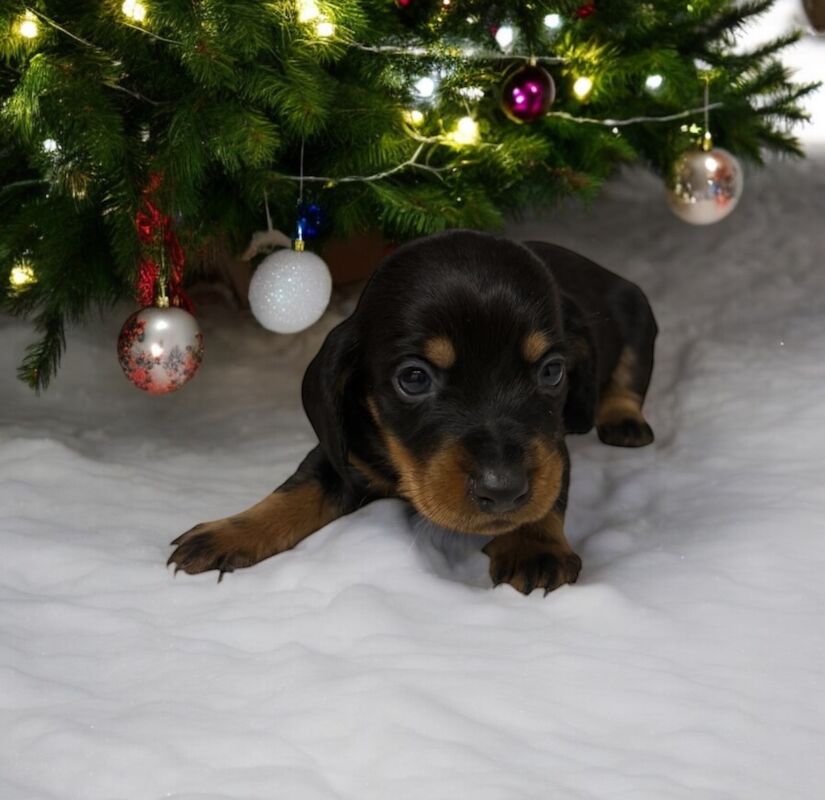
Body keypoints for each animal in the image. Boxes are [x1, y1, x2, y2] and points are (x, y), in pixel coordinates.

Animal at [169, 231, 656, 592]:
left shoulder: (551, 446)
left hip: (637, 316)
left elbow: (549, 491)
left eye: (553, 371)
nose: (502, 490)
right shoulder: (345, 453)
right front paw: (230, 531)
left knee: (628, 380)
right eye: (415, 379)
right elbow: (295, 492)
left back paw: (624, 421)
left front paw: (533, 545)